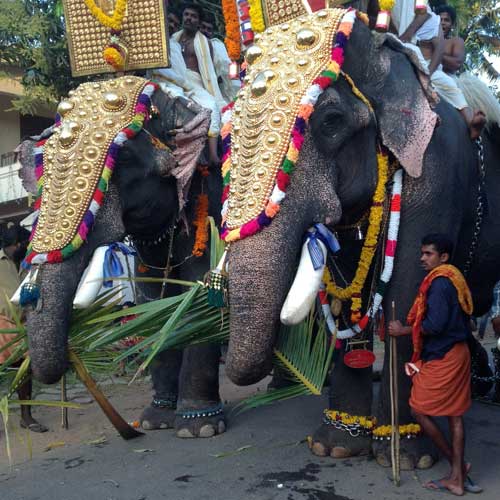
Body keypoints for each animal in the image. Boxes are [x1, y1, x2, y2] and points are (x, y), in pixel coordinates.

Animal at [20, 75, 225, 438]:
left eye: (124, 159)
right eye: (42, 166)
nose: (72, 348)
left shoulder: (208, 202)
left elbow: (198, 294)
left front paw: (198, 429)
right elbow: (153, 301)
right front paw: (156, 421)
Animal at [220, 8, 500, 468]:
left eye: (331, 122)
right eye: (225, 130)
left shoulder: (434, 172)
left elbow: (409, 290)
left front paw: (408, 457)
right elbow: (346, 292)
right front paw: (335, 446)